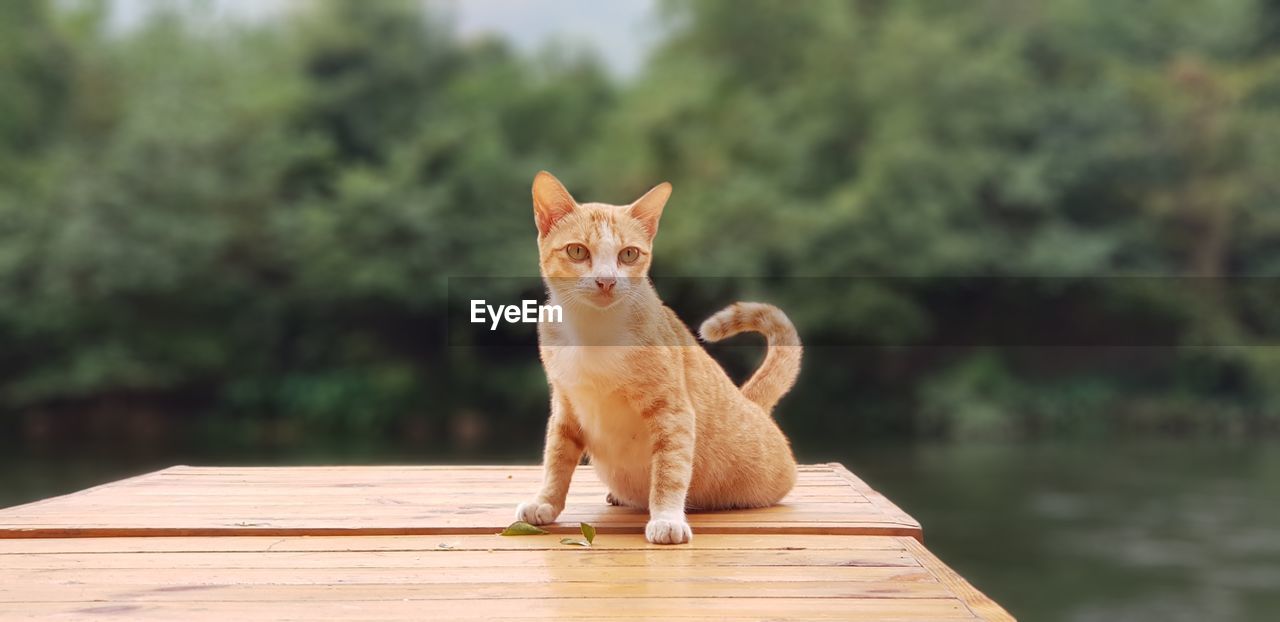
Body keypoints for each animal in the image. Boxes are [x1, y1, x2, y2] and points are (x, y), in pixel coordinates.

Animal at [512, 170, 798, 545]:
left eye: (629, 255)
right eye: (577, 251)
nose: (606, 281)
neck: (593, 333)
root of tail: (750, 403)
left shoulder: (673, 412)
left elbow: (670, 469)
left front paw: (666, 519)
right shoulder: (566, 406)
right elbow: (556, 458)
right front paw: (546, 502)